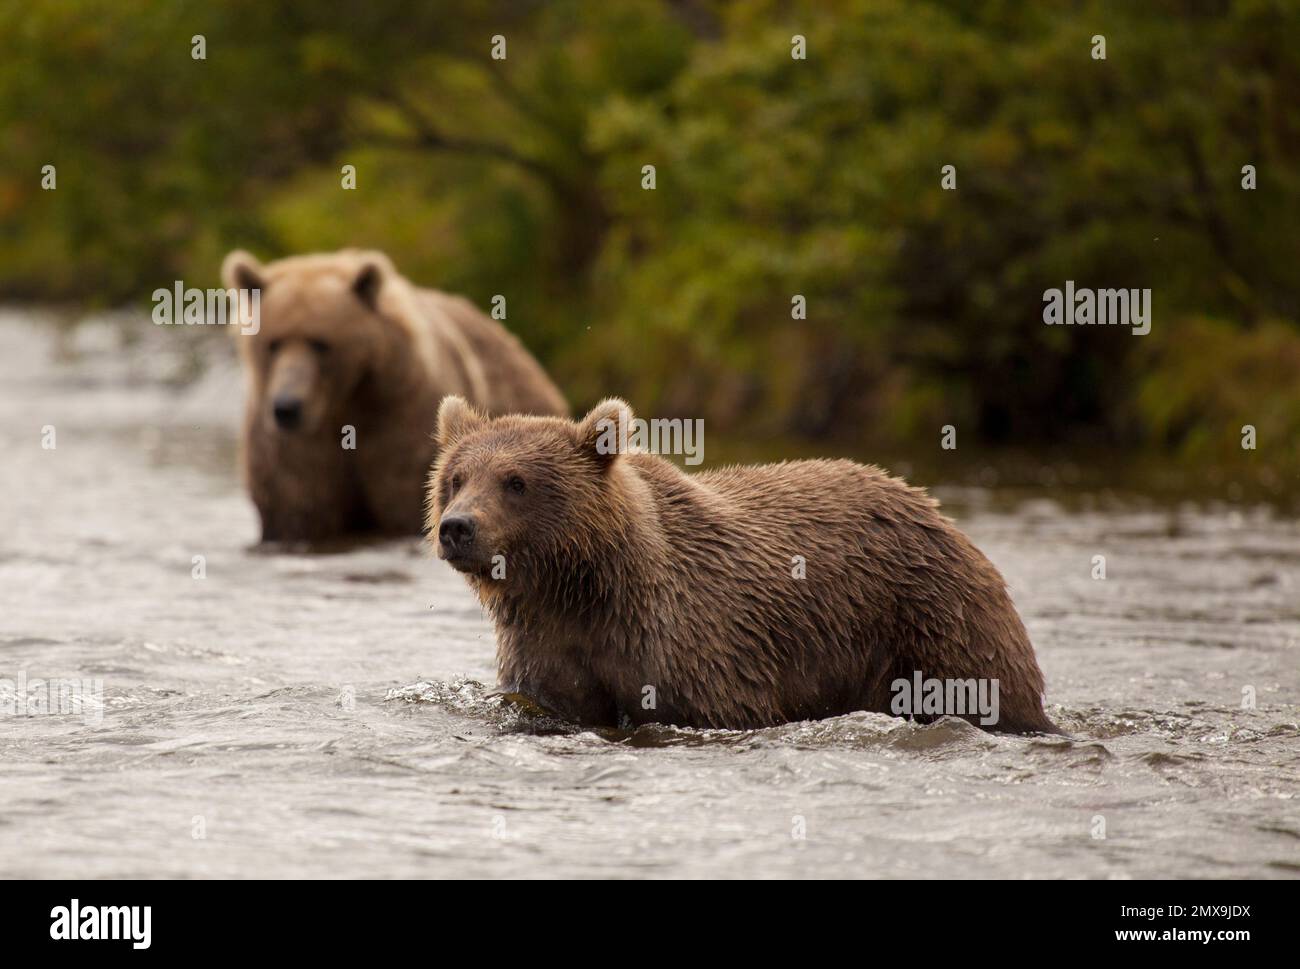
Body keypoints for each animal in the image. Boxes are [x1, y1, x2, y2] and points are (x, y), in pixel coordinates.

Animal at [221, 248, 568, 543]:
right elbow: (298, 505)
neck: (345, 403)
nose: (287, 407)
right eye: (273, 343)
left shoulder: (399, 421)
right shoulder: (296, 448)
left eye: (321, 343)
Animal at [426, 396, 1061, 735]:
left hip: (934, 619)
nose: (457, 527)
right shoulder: (548, 652)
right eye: (456, 477)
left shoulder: (697, 649)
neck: (579, 587)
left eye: (515, 482)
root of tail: (934, 508)